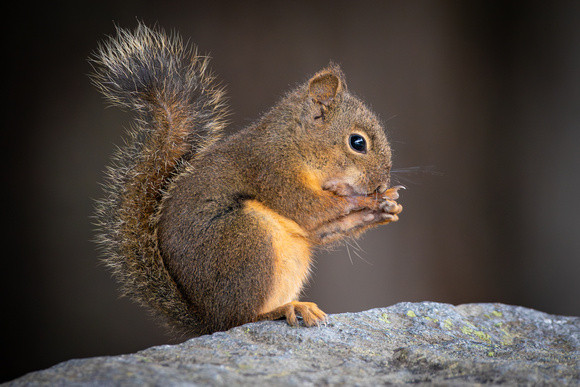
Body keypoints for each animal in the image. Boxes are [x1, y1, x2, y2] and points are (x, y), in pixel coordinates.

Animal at [90, 24, 404, 338]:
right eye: (357, 142)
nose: (379, 183)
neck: (294, 143)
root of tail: (207, 320)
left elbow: (322, 228)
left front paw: (386, 206)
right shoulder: (271, 172)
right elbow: (308, 208)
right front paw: (369, 199)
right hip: (247, 239)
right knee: (241, 318)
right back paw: (287, 308)